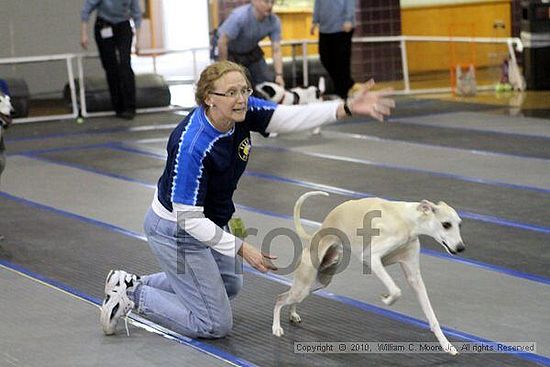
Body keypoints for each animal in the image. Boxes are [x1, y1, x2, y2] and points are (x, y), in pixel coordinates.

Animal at [272, 193, 466, 356]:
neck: (408, 219)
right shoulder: (371, 257)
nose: (461, 248)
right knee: (280, 298)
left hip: (318, 282)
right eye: (446, 224)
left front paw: (447, 345)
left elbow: (432, 317)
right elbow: (396, 291)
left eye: (459, 224)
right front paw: (387, 299)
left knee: (291, 297)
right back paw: (276, 328)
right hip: (306, 284)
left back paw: (293, 315)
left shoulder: (414, 277)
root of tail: (316, 233)